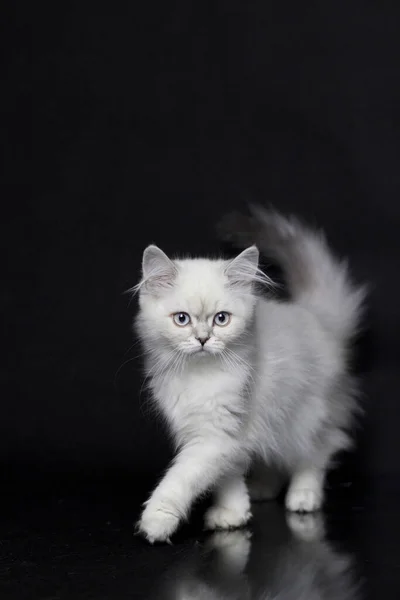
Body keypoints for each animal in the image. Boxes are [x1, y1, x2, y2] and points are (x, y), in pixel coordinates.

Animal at [134, 210, 366, 544]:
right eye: (182, 319)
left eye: (221, 319)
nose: (203, 339)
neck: (199, 377)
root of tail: (318, 318)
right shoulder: (223, 435)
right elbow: (226, 476)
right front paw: (234, 514)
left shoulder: (214, 436)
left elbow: (182, 477)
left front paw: (156, 520)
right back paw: (262, 489)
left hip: (305, 417)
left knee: (317, 452)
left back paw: (303, 496)